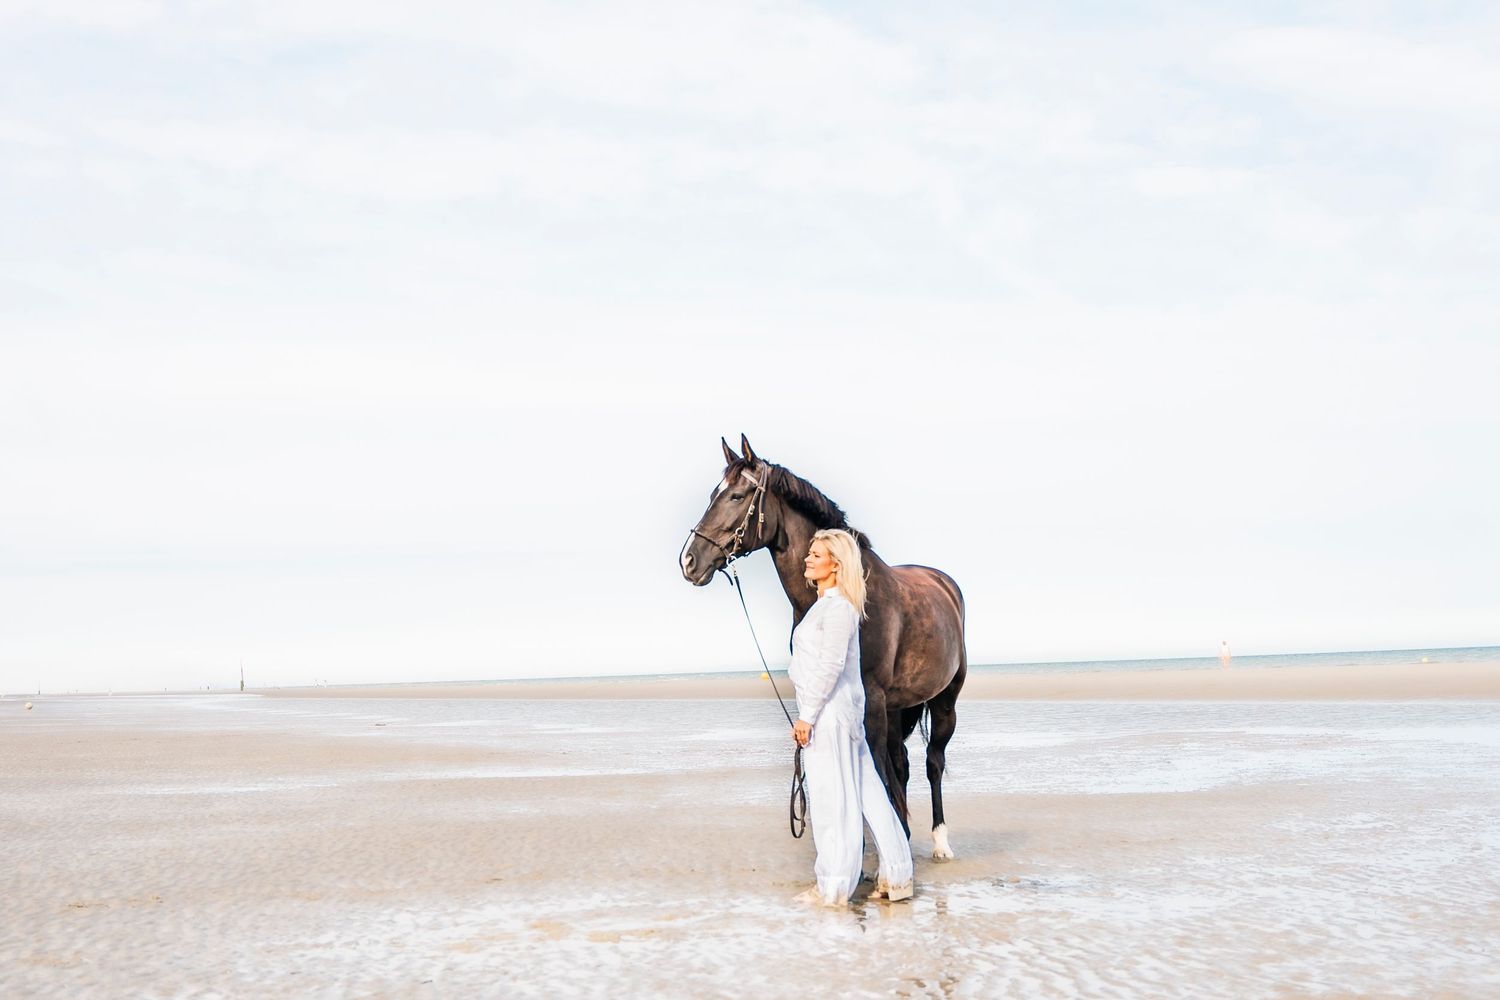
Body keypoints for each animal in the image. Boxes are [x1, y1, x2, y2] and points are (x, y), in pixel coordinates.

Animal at [679, 434, 967, 859]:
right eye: (714, 494)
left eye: (737, 495)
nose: (689, 561)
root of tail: (944, 582)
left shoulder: (872, 699)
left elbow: (874, 770)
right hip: (899, 708)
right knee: (903, 765)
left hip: (944, 701)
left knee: (933, 763)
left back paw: (941, 842)